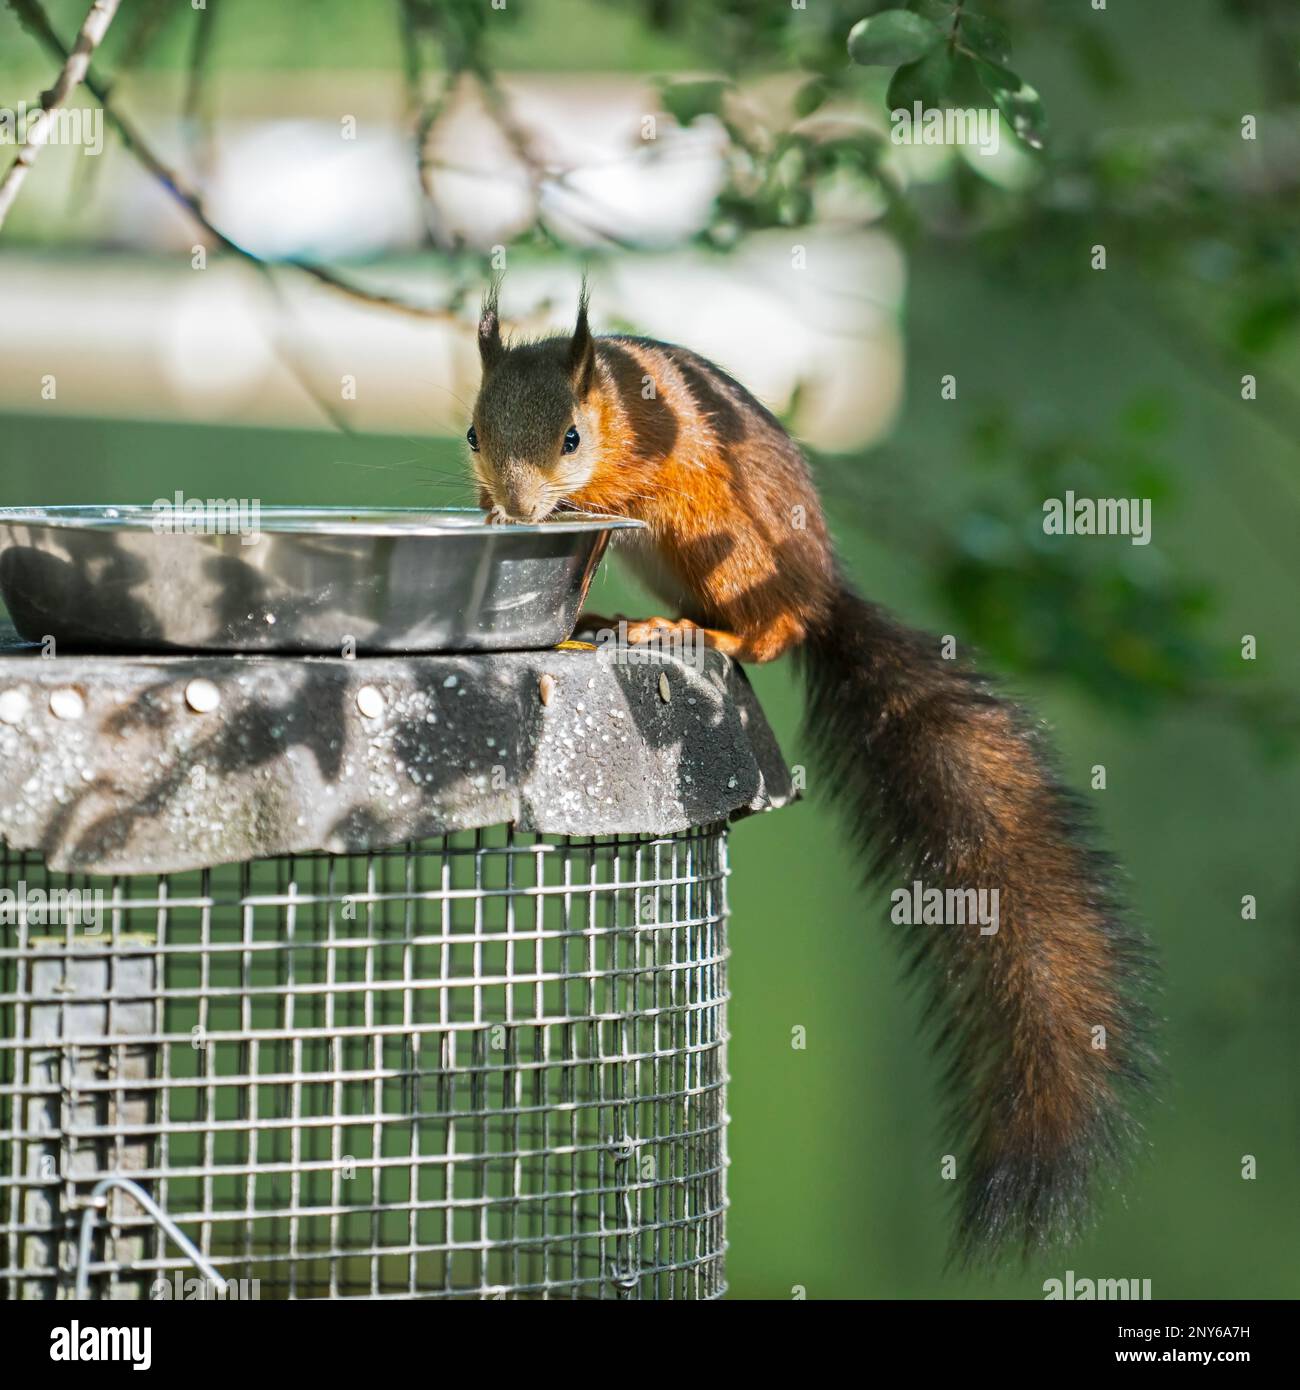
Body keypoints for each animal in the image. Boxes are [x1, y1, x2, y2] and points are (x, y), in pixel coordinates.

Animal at [468, 282, 1157, 1263]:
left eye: (570, 438)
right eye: (471, 434)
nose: (521, 510)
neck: (614, 405)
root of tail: (821, 588)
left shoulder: (646, 459)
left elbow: (614, 497)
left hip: (731, 547)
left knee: (768, 634)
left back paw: (689, 631)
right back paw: (609, 615)